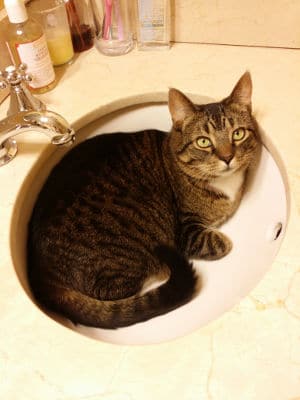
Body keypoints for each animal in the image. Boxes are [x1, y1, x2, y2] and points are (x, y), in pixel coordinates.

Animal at [28, 72, 262, 328]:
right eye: (203, 141)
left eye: (238, 134)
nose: (228, 157)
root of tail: (41, 275)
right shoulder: (187, 233)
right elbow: (221, 243)